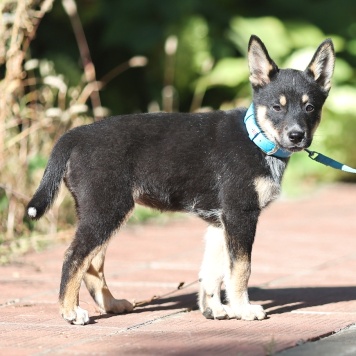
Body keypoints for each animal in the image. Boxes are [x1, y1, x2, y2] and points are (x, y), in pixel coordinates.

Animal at [27, 36, 334, 326]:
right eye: (276, 107)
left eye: (310, 108)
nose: (297, 136)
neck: (256, 138)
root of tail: (76, 135)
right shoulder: (240, 214)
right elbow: (241, 268)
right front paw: (243, 309)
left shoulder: (220, 222)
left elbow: (213, 271)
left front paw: (214, 309)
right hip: (107, 209)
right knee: (74, 257)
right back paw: (70, 311)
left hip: (101, 211)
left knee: (94, 263)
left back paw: (112, 304)